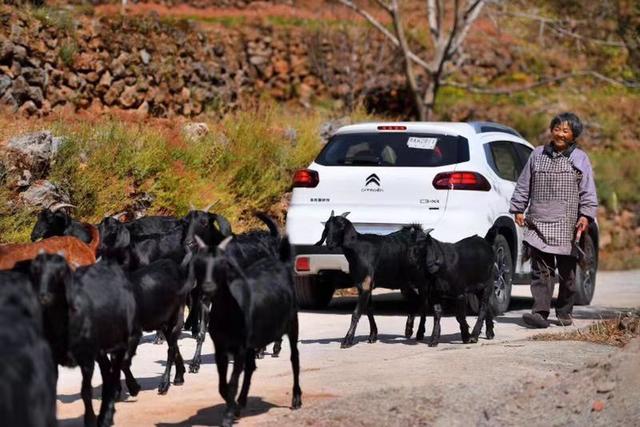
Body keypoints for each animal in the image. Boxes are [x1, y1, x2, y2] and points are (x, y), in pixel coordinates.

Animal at [191, 237, 302, 427]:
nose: (208, 289)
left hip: (292, 322)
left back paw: (296, 398)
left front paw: (228, 416)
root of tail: (282, 263)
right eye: (199, 263)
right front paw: (233, 407)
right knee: (251, 367)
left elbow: (233, 381)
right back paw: (241, 401)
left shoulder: (240, 347)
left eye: (222, 264)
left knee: (294, 357)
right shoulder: (220, 347)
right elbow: (223, 385)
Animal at [316, 211, 430, 348]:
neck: (357, 249)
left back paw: (420, 332)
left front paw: (347, 340)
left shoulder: (365, 284)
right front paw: (372, 336)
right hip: (404, 283)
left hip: (421, 279)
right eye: (327, 226)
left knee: (424, 302)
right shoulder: (364, 285)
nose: (329, 243)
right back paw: (408, 330)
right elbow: (369, 310)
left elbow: (356, 313)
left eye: (341, 226)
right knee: (415, 300)